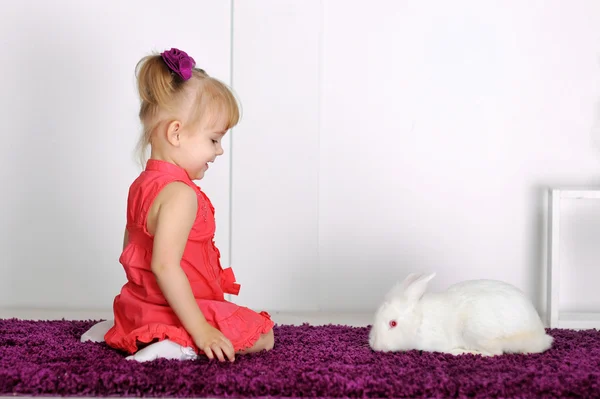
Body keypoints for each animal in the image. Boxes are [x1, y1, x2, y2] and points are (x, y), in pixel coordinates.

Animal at [368, 272, 556, 356]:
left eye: (393, 323)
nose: (375, 346)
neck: (419, 320)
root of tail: (539, 336)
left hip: (477, 333)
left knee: (494, 353)